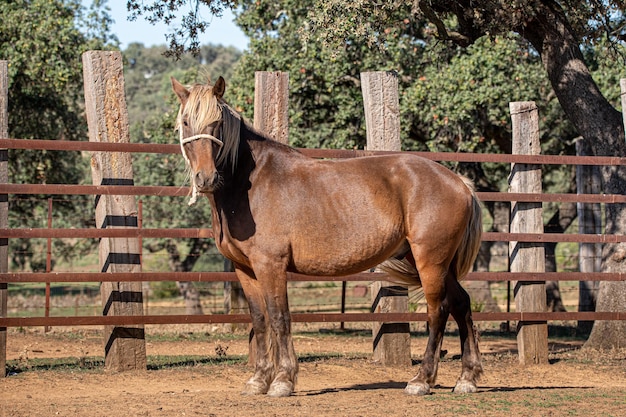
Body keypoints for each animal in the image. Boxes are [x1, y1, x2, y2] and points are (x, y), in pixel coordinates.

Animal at [171, 75, 482, 396]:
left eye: (217, 122)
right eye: (186, 122)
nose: (205, 178)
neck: (252, 182)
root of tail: (459, 182)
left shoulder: (271, 265)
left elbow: (279, 317)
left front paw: (282, 380)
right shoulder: (244, 268)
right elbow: (259, 319)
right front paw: (257, 381)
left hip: (429, 261)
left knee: (438, 310)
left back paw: (421, 380)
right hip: (434, 262)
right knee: (461, 304)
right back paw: (466, 379)